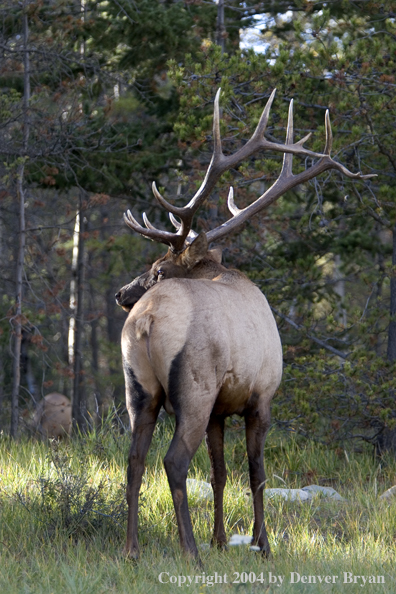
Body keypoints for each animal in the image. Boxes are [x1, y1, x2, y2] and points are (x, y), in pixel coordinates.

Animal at [115, 89, 374, 560]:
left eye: (158, 269)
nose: (122, 294)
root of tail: (146, 320)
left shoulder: (221, 410)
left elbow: (220, 473)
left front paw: (222, 538)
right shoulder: (262, 397)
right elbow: (257, 474)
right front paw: (262, 543)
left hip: (139, 389)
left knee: (134, 461)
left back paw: (133, 549)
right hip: (194, 388)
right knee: (173, 461)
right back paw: (190, 551)